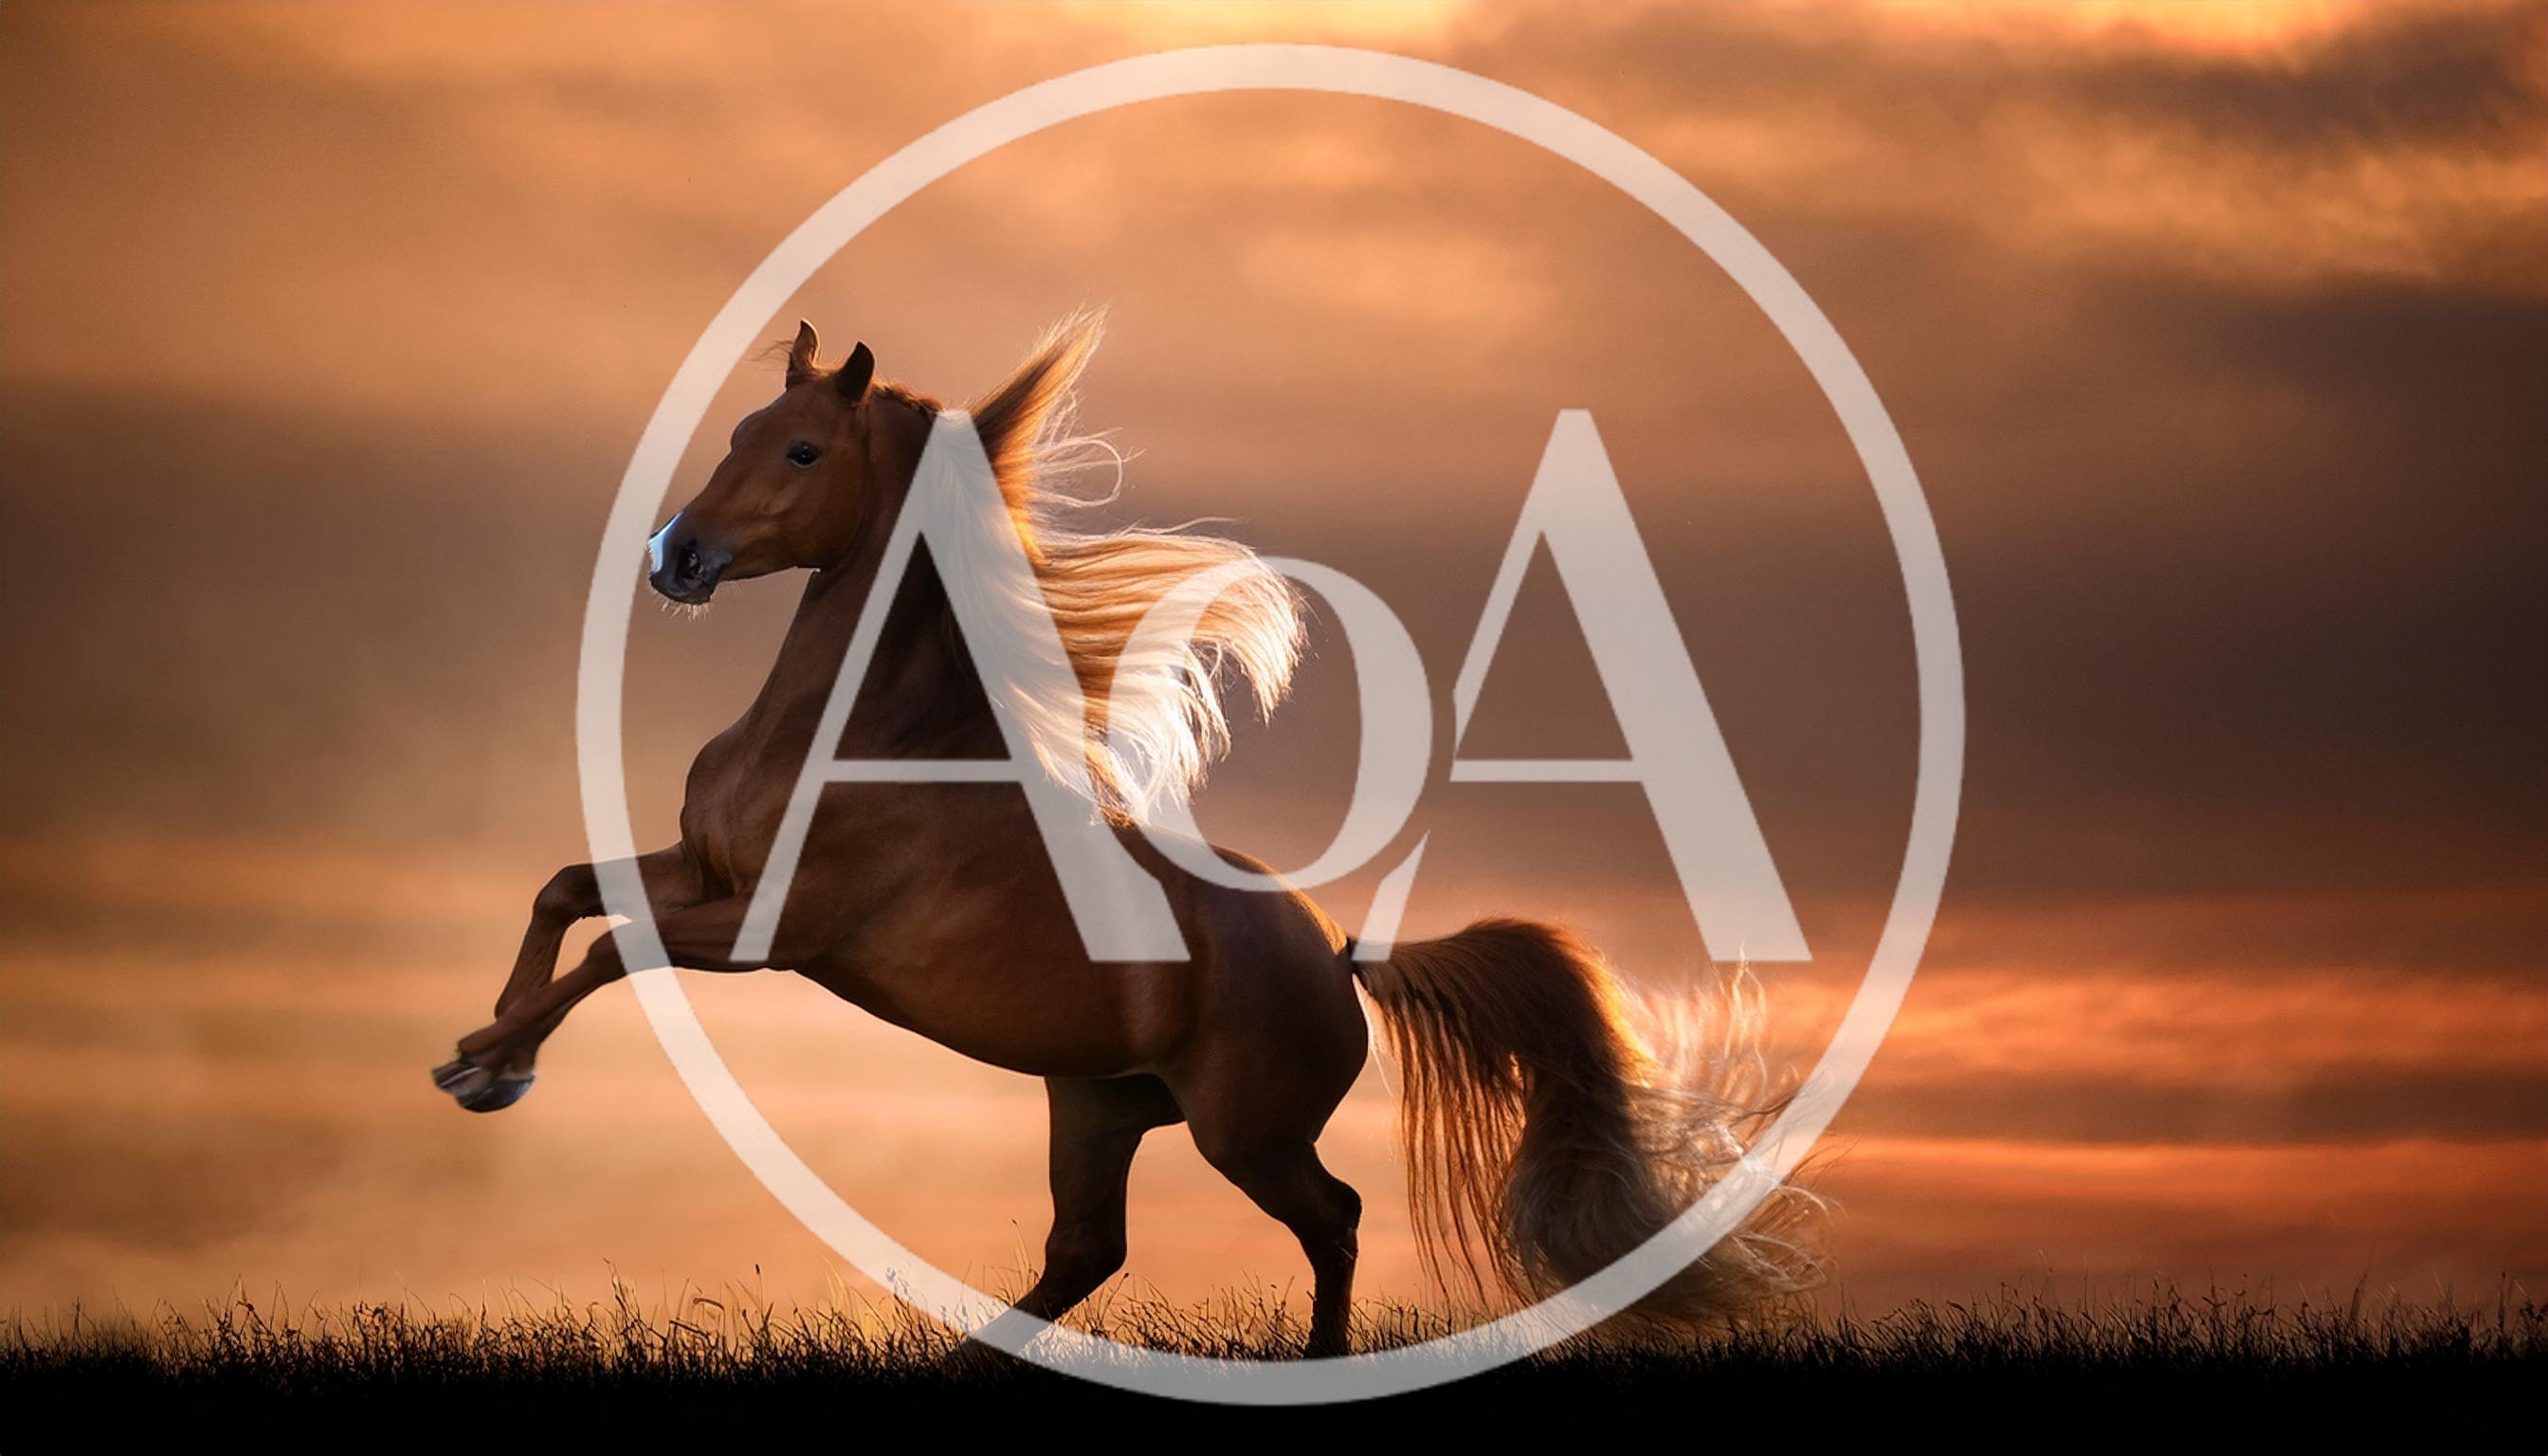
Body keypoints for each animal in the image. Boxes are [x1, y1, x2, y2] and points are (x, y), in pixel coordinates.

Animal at [431, 314, 1823, 1356]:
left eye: (805, 452)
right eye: (740, 438)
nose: (674, 557)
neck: (864, 739)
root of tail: (1344, 955)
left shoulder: (769, 928)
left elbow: (611, 949)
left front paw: (483, 1067)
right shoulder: (705, 869)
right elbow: (566, 890)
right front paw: (490, 1051)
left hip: (1241, 1132)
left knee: (1331, 1218)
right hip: (1098, 1108)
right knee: (1085, 1252)